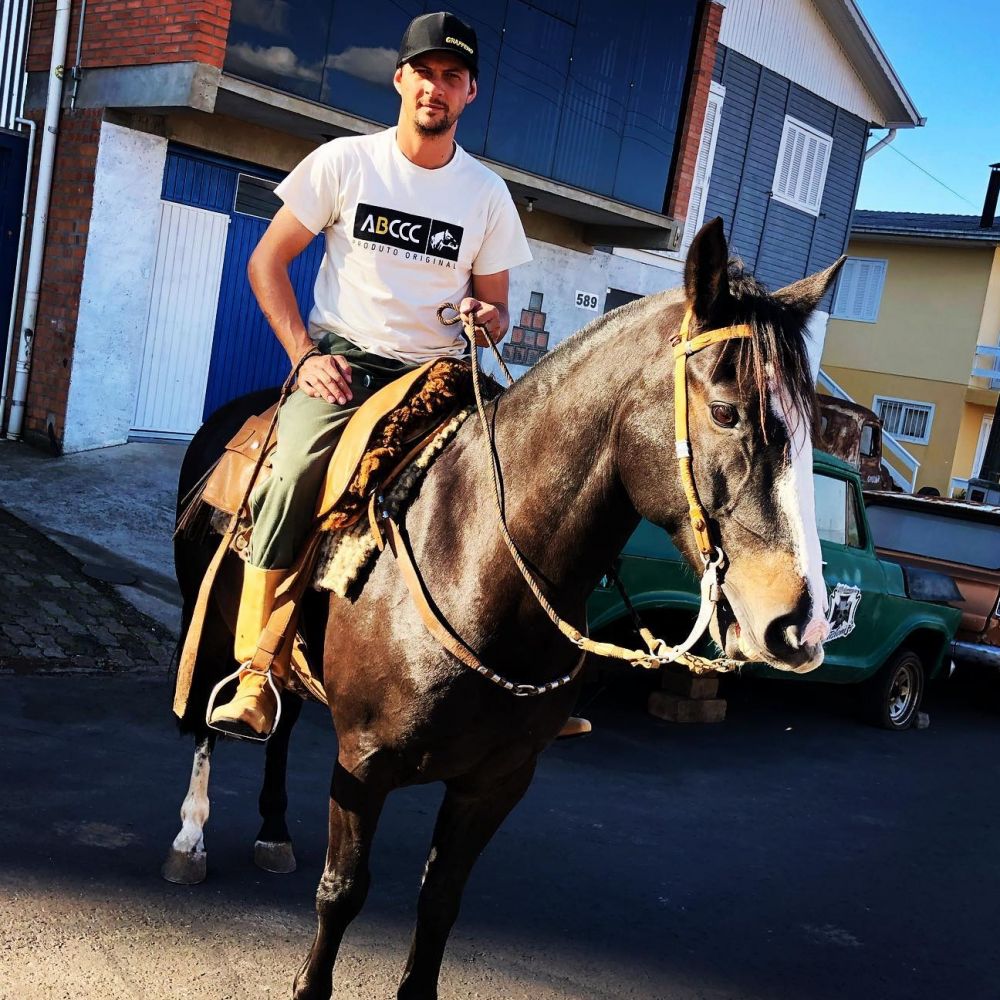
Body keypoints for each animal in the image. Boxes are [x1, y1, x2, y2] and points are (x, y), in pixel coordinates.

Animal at [162, 221, 844, 1000]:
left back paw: (273, 832)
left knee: (279, 723)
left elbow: (440, 903)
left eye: (811, 433)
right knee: (207, 723)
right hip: (210, 622)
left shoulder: (497, 781)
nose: (801, 625)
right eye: (728, 412)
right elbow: (342, 894)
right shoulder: (364, 764)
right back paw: (190, 837)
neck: (477, 558)